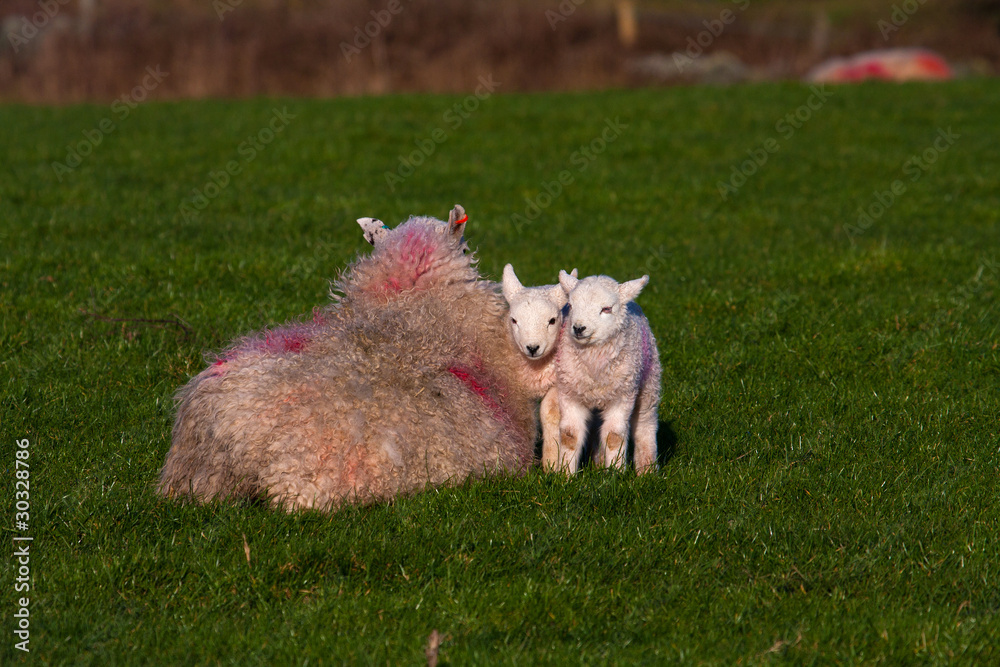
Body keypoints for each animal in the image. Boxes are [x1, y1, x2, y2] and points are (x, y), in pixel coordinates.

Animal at [552, 270, 661, 474]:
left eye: (606, 309)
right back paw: (598, 462)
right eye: (571, 305)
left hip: (650, 382)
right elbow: (570, 436)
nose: (578, 328)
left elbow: (614, 436)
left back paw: (647, 469)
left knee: (646, 424)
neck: (594, 364)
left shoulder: (623, 396)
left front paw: (615, 473)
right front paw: (565, 474)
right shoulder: (569, 393)